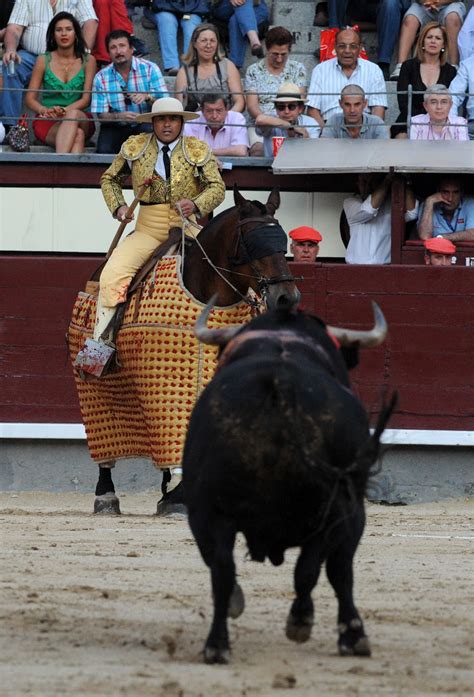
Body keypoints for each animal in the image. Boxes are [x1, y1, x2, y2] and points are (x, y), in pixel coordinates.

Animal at [67, 184, 300, 512]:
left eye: (283, 244)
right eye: (253, 244)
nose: (287, 297)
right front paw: (180, 496)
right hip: (94, 387)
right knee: (105, 440)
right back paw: (107, 494)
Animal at [182, 300, 396, 664]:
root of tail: (280, 381)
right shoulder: (350, 516)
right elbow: (338, 572)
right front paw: (347, 633)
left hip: (209, 509)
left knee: (222, 569)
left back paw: (217, 644)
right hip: (338, 509)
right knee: (319, 569)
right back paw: (308, 624)